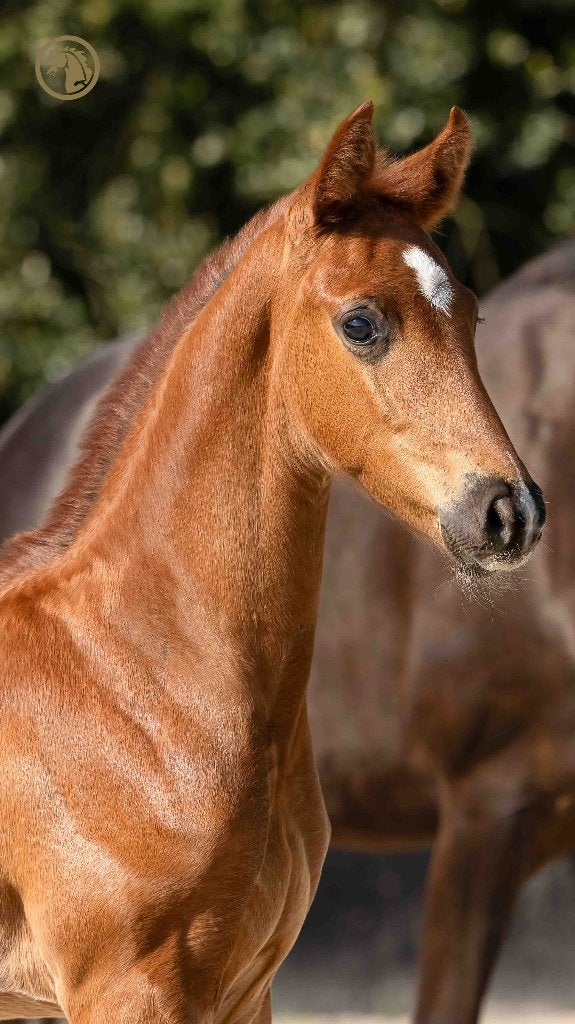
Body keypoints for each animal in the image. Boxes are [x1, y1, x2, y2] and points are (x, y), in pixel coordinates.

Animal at [0, 103, 543, 1024]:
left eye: (469, 316)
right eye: (360, 322)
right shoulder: (130, 990)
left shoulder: (246, 990)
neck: (134, 675)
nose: (509, 512)